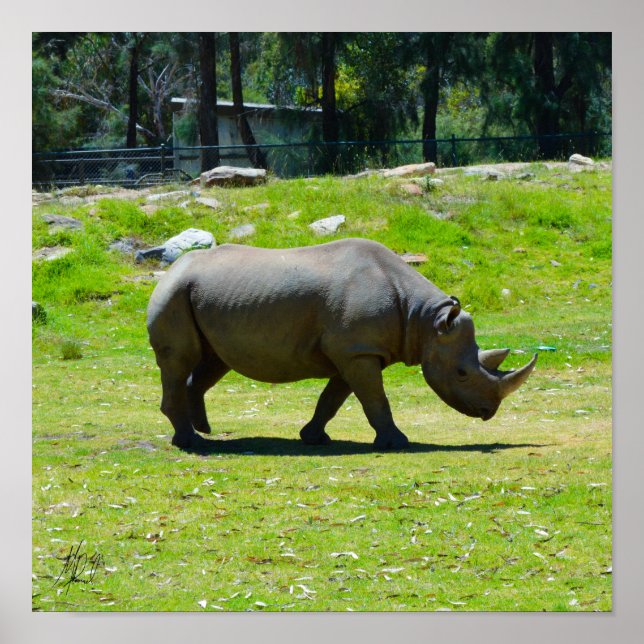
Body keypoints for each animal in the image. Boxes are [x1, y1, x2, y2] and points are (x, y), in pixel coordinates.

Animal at [146, 238, 537, 450]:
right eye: (461, 373)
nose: (488, 412)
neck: (425, 320)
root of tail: (172, 269)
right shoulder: (357, 351)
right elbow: (375, 400)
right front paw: (398, 443)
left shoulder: (353, 350)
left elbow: (333, 399)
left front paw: (313, 438)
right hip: (174, 293)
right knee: (180, 360)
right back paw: (191, 442)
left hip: (202, 296)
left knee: (213, 361)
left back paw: (203, 430)